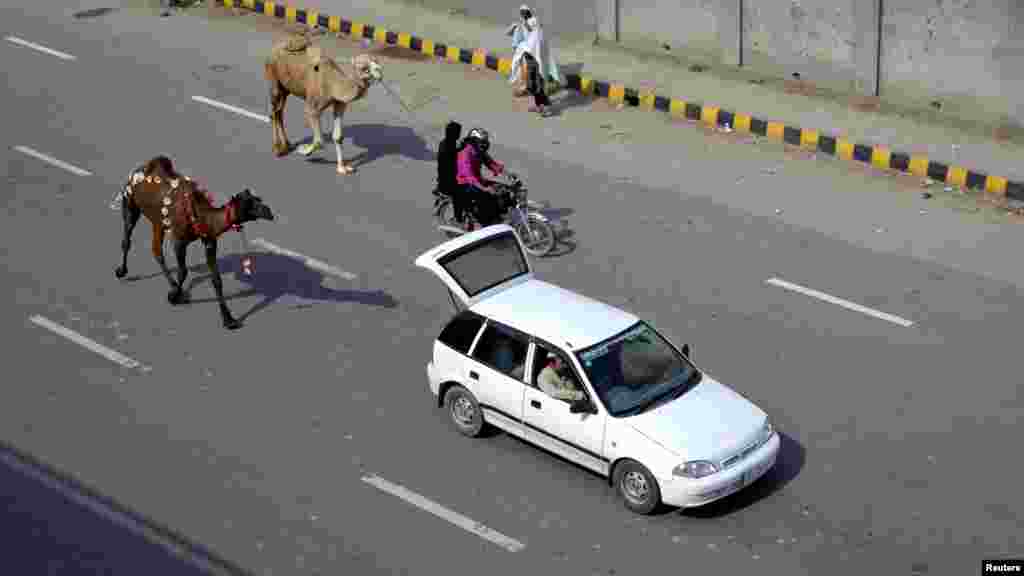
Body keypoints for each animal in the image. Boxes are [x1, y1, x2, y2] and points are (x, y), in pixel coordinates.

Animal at [115, 154, 276, 330]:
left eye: (258, 199)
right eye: (248, 205)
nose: (269, 212)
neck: (202, 215)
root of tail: (137, 171)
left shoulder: (209, 240)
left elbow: (216, 279)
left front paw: (229, 320)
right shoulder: (179, 240)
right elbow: (183, 271)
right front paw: (174, 297)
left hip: (158, 221)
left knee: (156, 250)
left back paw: (173, 286)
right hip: (130, 203)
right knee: (127, 238)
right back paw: (122, 271)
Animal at [266, 34, 385, 174]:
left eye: (377, 61)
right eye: (363, 66)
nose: (379, 71)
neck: (334, 85)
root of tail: (274, 48)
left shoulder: (339, 104)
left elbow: (338, 137)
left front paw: (342, 168)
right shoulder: (313, 107)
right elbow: (319, 140)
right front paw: (303, 150)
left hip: (286, 88)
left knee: (279, 111)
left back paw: (287, 145)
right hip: (273, 76)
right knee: (274, 111)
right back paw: (277, 149)